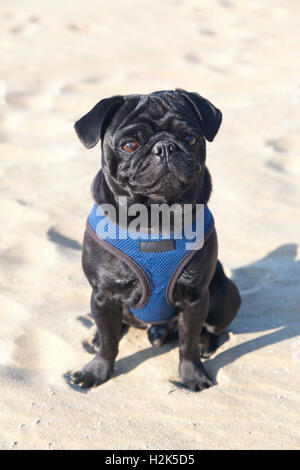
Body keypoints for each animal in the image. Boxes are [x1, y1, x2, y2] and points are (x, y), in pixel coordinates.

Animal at [71, 90, 240, 392]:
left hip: (223, 293)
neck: (155, 217)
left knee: (212, 328)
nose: (165, 147)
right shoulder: (103, 295)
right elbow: (108, 345)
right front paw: (97, 372)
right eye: (129, 145)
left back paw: (207, 343)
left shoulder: (195, 297)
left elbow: (187, 345)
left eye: (190, 138)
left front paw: (193, 376)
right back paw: (96, 337)